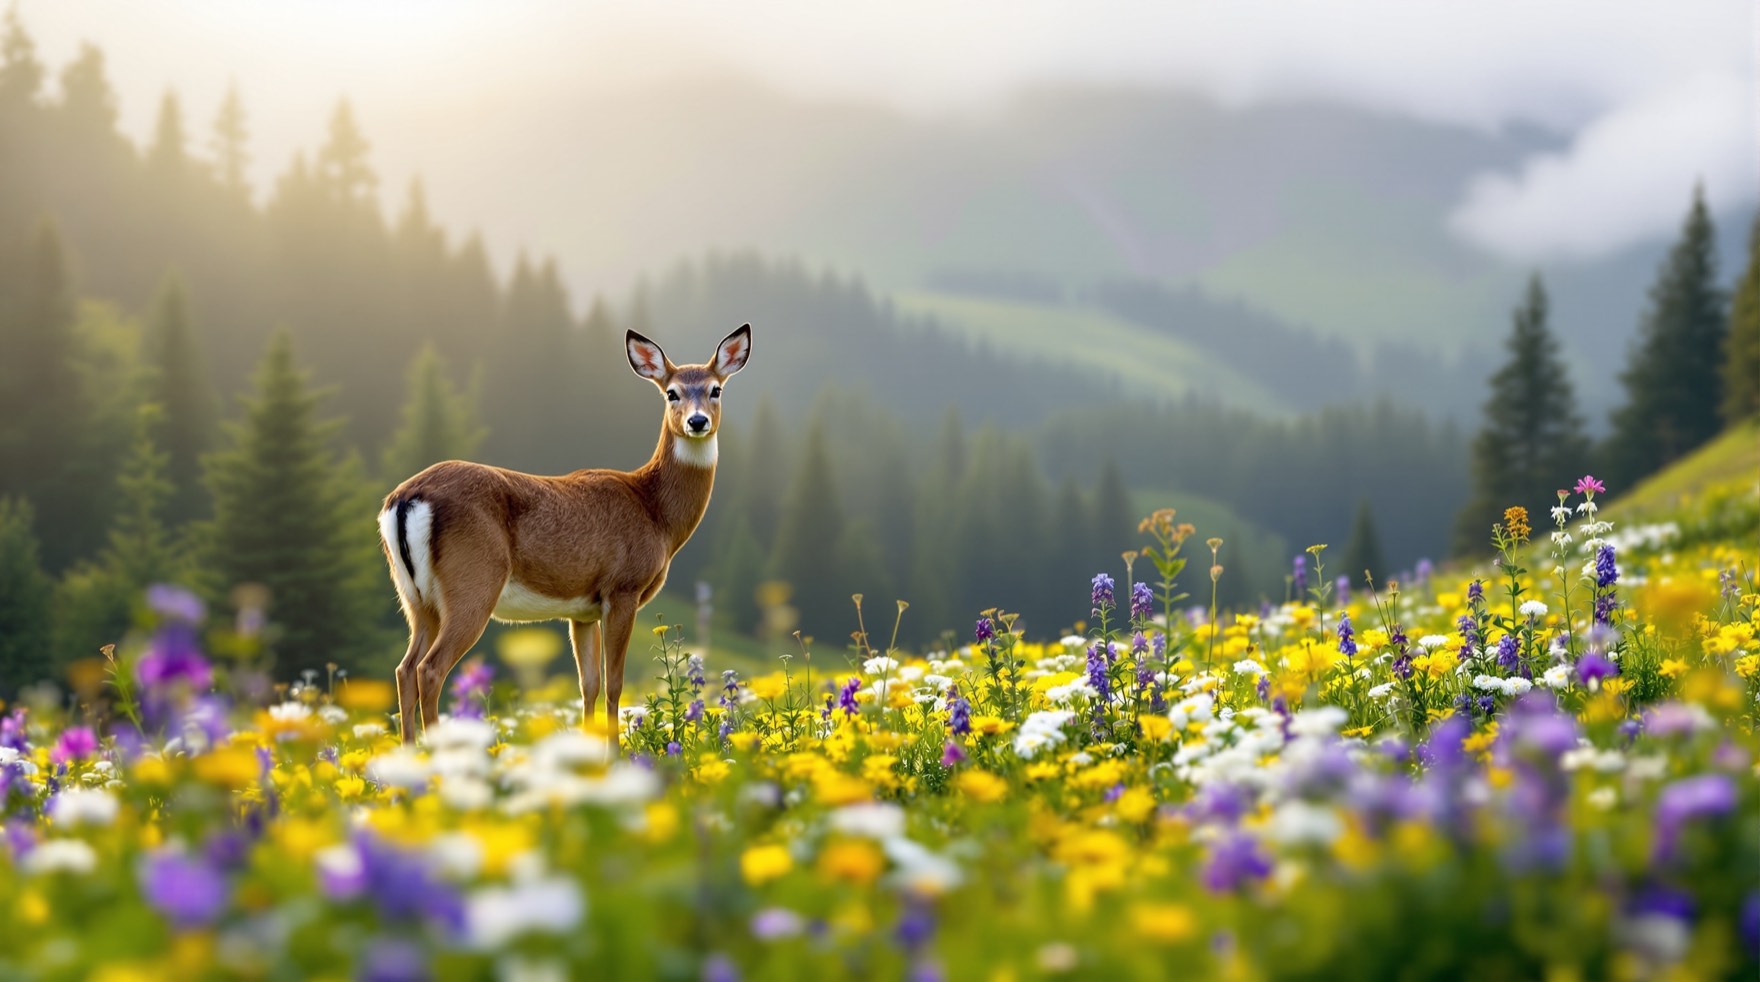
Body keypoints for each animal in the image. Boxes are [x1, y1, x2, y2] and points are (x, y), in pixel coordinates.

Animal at [377, 325, 752, 745]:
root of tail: (405, 498)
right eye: (672, 392)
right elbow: (614, 685)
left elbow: (587, 685)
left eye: (715, 389)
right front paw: (615, 754)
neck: (656, 514)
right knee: (429, 669)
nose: (698, 421)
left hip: (415, 598)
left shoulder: (582, 610)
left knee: (404, 669)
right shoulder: (622, 588)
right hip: (472, 583)